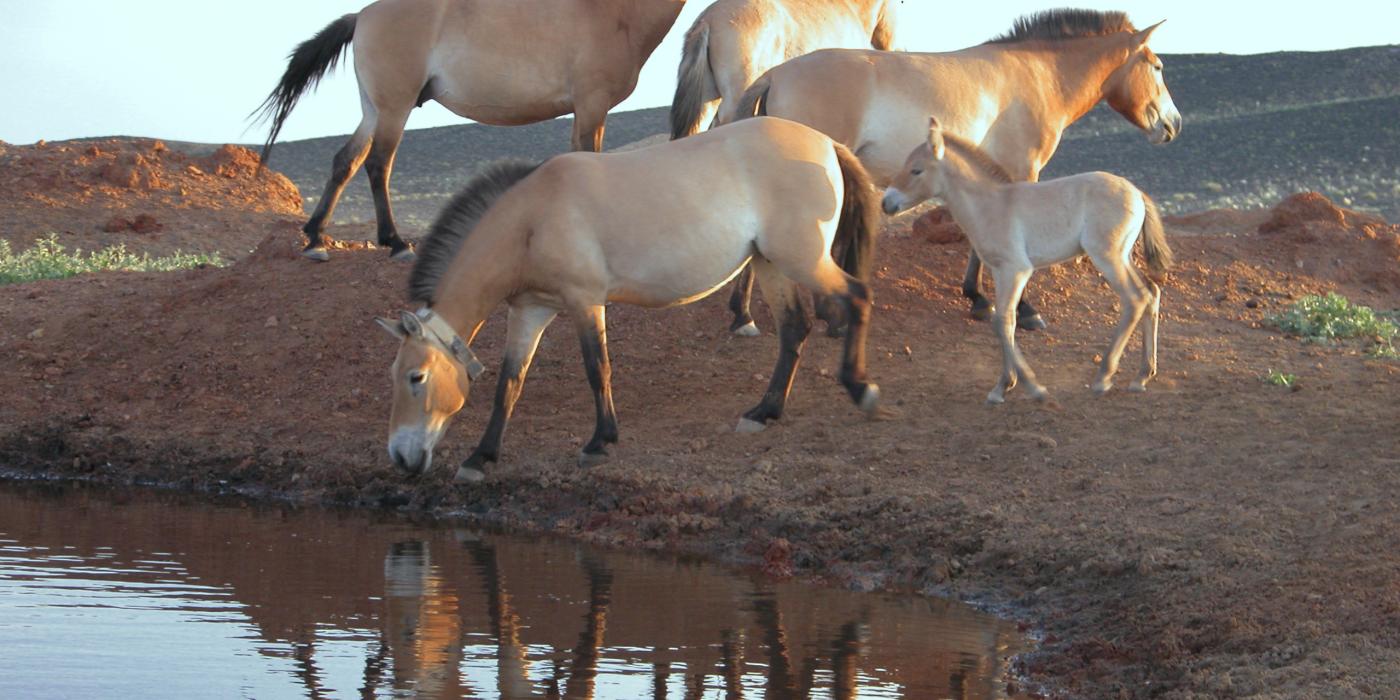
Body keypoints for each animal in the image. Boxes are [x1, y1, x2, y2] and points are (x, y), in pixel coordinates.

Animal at [256, 0, 688, 263]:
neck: (613, 12)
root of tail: (361, 16)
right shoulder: (592, 106)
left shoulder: (584, 112)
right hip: (394, 108)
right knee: (378, 164)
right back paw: (396, 244)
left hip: (374, 110)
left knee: (345, 160)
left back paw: (315, 239)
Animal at [372, 117, 873, 484]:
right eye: (394, 375)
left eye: (416, 377)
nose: (399, 456)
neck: (532, 219)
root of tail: (826, 143)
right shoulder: (530, 310)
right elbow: (509, 384)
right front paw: (481, 456)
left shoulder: (584, 301)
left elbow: (598, 368)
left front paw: (600, 442)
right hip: (770, 264)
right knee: (794, 329)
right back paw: (764, 412)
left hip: (802, 260)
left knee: (857, 299)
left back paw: (860, 389)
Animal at [733, 8, 1181, 334]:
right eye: (1158, 66)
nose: (1173, 124)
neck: (1036, 74)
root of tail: (775, 75)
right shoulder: (1022, 172)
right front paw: (1024, 310)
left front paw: (977, 299)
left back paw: (745, 316)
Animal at [884, 119, 1170, 406]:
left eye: (916, 170)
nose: (886, 203)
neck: (991, 204)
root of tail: (1137, 193)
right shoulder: (999, 271)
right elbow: (1005, 321)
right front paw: (1005, 385)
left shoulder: (1016, 270)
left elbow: (1003, 321)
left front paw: (1029, 387)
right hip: (1124, 256)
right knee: (1151, 292)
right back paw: (1142, 376)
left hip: (1108, 257)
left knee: (1135, 299)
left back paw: (1104, 377)